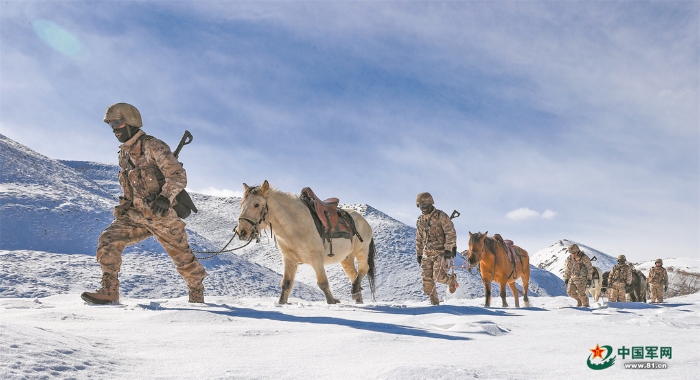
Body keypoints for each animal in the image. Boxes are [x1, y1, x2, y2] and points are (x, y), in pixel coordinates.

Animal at [237, 181, 378, 306]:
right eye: (242, 204)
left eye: (256, 204)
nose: (242, 231)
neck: (294, 225)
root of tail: (364, 222)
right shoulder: (289, 259)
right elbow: (286, 283)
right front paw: (281, 303)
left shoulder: (316, 258)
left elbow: (323, 283)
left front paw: (332, 302)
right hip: (346, 258)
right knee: (353, 274)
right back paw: (357, 297)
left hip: (361, 250)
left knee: (364, 269)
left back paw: (355, 291)